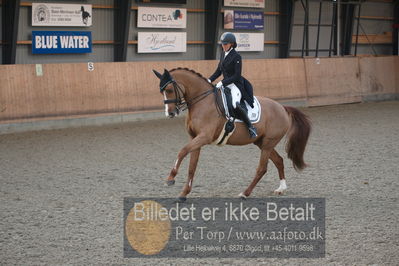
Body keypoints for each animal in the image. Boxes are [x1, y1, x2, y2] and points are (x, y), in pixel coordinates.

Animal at [152, 67, 310, 201]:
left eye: (169, 90)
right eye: (161, 91)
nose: (170, 113)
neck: (202, 101)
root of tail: (282, 108)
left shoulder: (204, 137)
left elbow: (182, 151)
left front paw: (170, 178)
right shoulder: (195, 139)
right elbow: (192, 167)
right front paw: (184, 194)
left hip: (268, 143)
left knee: (262, 169)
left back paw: (245, 193)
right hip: (262, 142)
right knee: (279, 161)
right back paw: (281, 188)